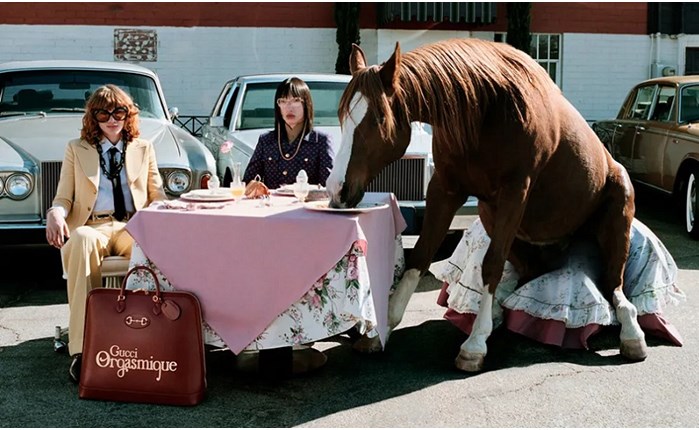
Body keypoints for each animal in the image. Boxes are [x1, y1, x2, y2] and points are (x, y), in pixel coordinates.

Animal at [326, 38, 648, 372]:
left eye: (378, 118)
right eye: (341, 115)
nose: (338, 189)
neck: (487, 109)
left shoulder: (514, 193)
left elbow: (491, 265)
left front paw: (475, 344)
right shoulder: (444, 190)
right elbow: (421, 257)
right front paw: (382, 329)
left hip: (616, 215)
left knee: (614, 285)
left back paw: (631, 333)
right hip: (495, 220)